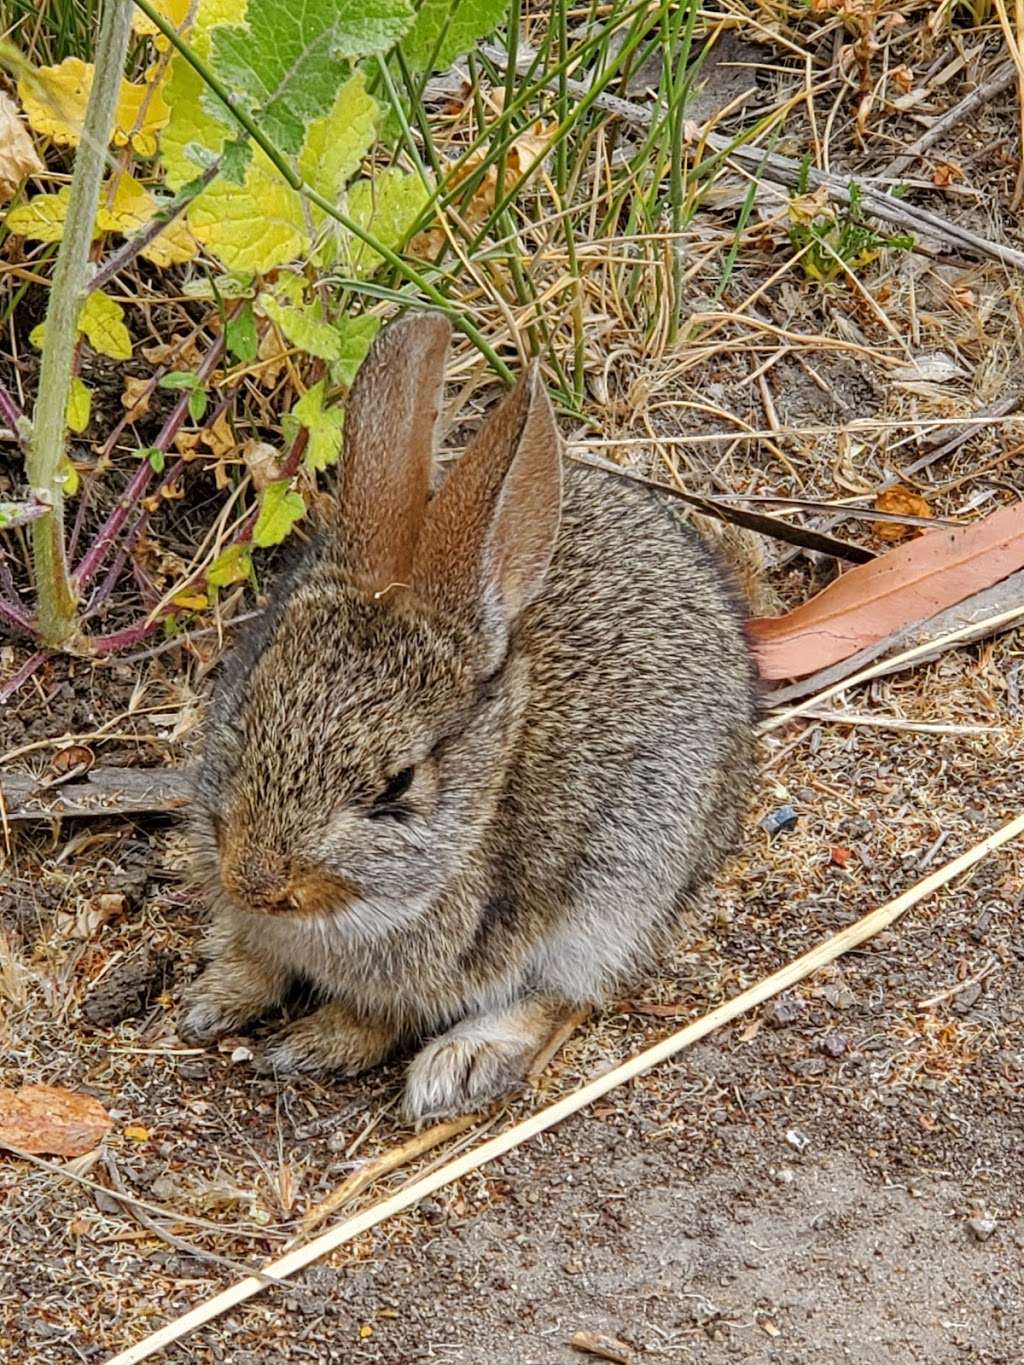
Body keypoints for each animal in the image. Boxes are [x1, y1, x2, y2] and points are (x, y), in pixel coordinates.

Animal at [176, 312, 759, 1119]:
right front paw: (216, 997)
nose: (255, 882)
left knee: (569, 992)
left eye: (397, 786)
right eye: (249, 702)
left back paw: (459, 1064)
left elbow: (390, 1015)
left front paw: (316, 1046)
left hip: (625, 888)